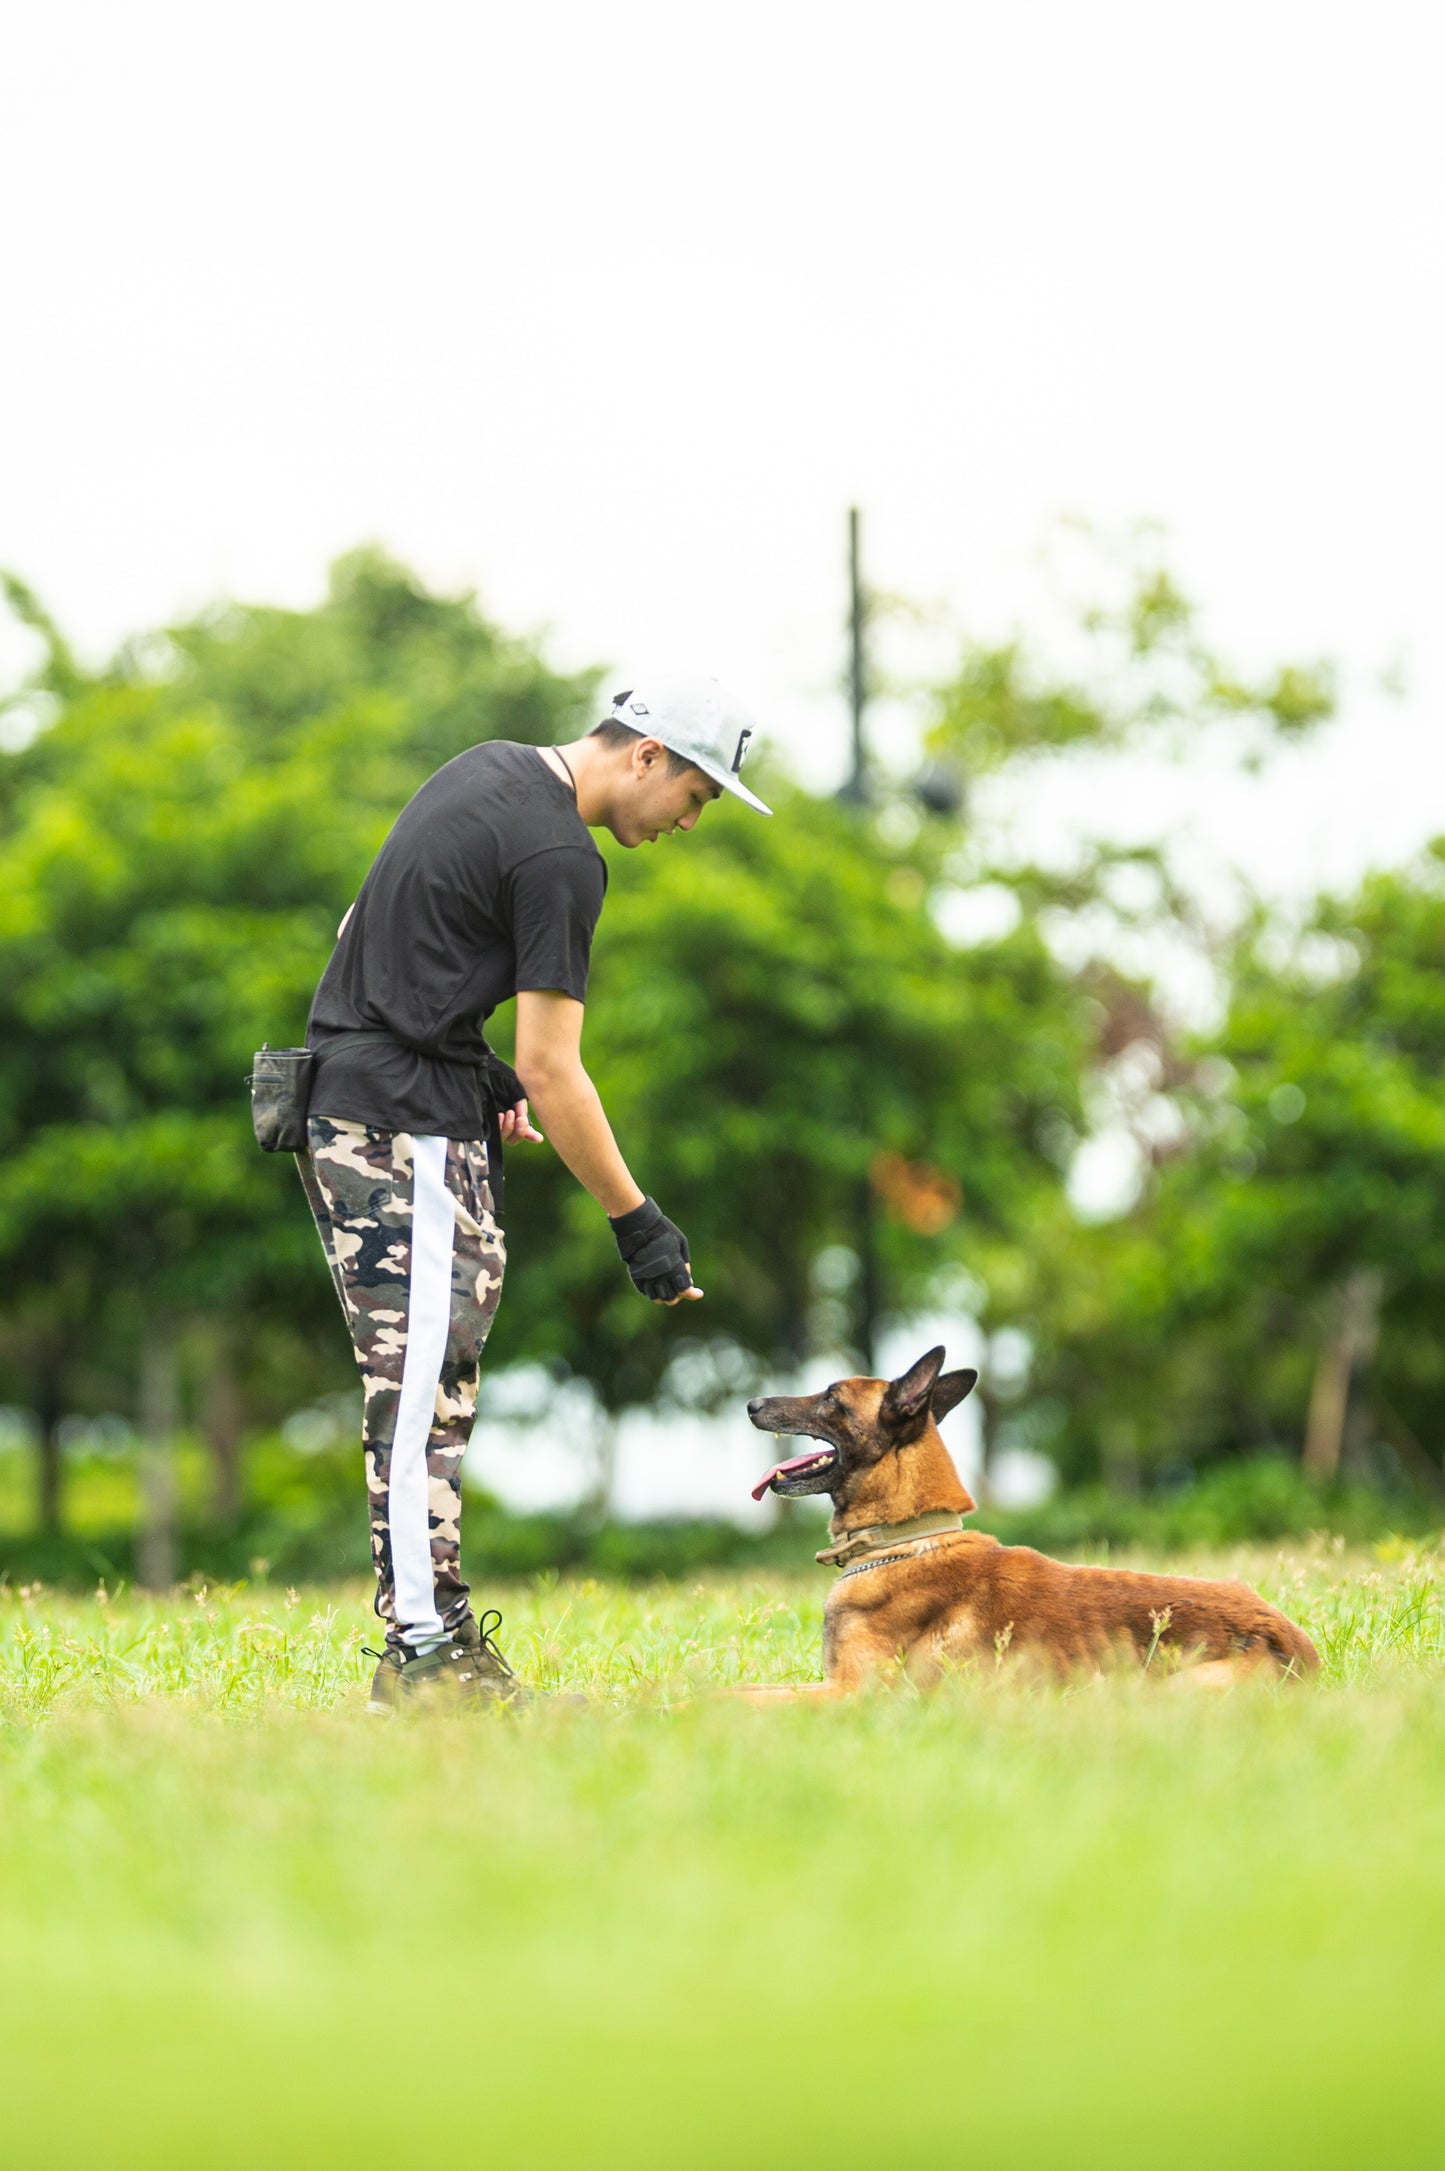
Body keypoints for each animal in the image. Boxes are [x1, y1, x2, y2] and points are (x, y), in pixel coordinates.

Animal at [742, 1337, 1319, 1693]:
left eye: (830, 1397)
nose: (751, 1404)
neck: (903, 1539)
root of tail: (1295, 1647)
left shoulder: (853, 1694)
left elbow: (747, 1697)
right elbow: (748, 1688)